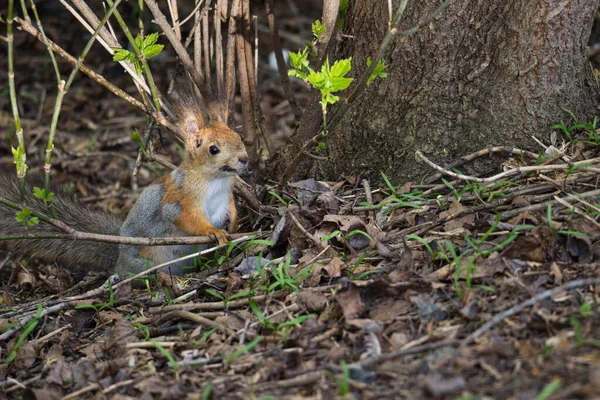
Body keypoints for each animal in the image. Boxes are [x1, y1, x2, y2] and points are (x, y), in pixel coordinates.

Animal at [0, 82, 248, 278]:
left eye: (239, 136)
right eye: (213, 149)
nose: (245, 159)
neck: (216, 179)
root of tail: (118, 257)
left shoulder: (225, 195)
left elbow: (230, 207)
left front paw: (235, 221)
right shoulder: (181, 195)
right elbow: (183, 217)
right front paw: (213, 231)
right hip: (143, 263)